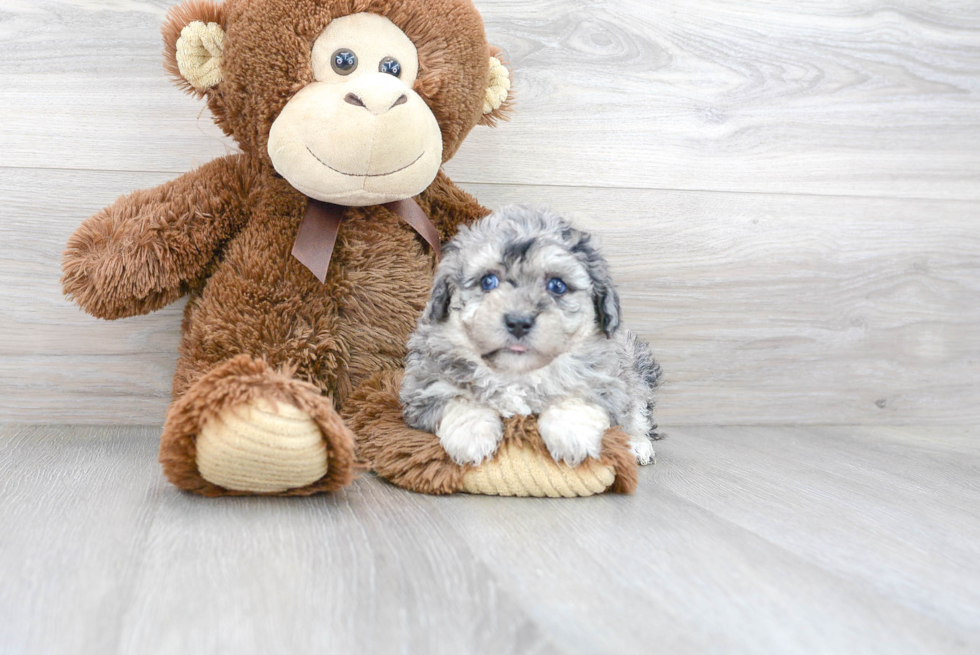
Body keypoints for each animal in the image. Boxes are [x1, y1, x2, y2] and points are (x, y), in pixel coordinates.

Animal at [402, 205, 664, 466]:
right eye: (488, 281)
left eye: (557, 285)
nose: (518, 323)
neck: (518, 372)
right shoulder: (423, 384)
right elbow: (458, 400)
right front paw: (471, 436)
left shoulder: (607, 381)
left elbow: (577, 396)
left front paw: (572, 436)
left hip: (634, 363)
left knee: (637, 407)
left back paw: (637, 443)